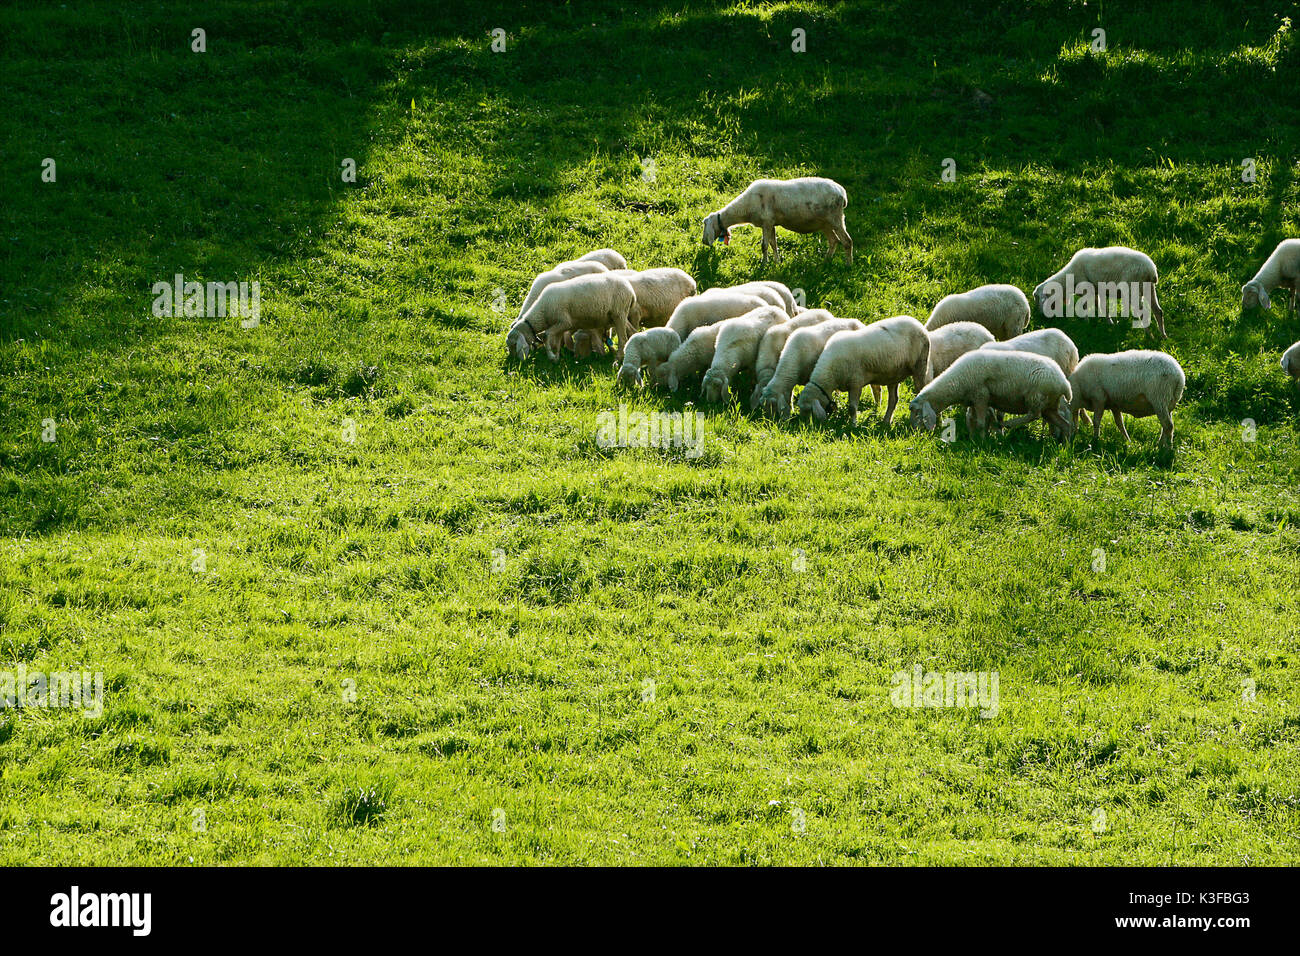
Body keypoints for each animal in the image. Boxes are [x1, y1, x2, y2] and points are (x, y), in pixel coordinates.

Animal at [506, 273, 634, 361]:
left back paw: (618, 359)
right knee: (630, 332)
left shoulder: (564, 322)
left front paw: (551, 356)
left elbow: (547, 335)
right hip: (617, 315)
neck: (543, 312)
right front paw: (556, 357)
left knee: (623, 339)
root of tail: (631, 291)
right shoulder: (560, 326)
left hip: (619, 314)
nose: (513, 361)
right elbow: (557, 343)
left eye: (513, 345)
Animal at [702, 175, 852, 264]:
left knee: (847, 241)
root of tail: (842, 193)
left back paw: (848, 265)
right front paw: (776, 262)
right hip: (825, 222)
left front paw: (764, 264)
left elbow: (764, 245)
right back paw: (825, 261)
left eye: (704, 224)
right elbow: (773, 244)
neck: (746, 207)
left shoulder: (766, 222)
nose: (703, 242)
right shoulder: (771, 223)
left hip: (836, 218)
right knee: (834, 241)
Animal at [790, 316, 935, 424]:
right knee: (893, 399)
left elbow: (852, 408)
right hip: (894, 374)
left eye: (809, 410)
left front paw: (853, 425)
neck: (831, 373)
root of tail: (918, 324)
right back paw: (886, 421)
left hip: (920, 366)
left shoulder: (856, 383)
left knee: (921, 389)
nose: (803, 426)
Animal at [909, 351, 1071, 442]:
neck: (957, 382)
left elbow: (981, 422)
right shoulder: (974, 401)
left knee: (1034, 415)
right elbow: (972, 420)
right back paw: (1065, 445)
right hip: (1049, 406)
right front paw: (973, 439)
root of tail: (1064, 383)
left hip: (1036, 396)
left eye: (916, 411)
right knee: (1064, 424)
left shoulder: (981, 396)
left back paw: (1008, 424)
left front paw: (982, 442)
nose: (913, 431)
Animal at [1034, 247, 1170, 335]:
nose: (1039, 316)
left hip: (1133, 288)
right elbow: (1101, 306)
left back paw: (1148, 335)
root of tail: (1151, 271)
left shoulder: (1086, 289)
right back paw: (1162, 335)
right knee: (1158, 311)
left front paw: (1086, 324)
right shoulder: (1097, 290)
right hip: (1148, 288)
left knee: (1143, 313)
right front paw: (1108, 322)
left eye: (1037, 298)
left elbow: (1085, 307)